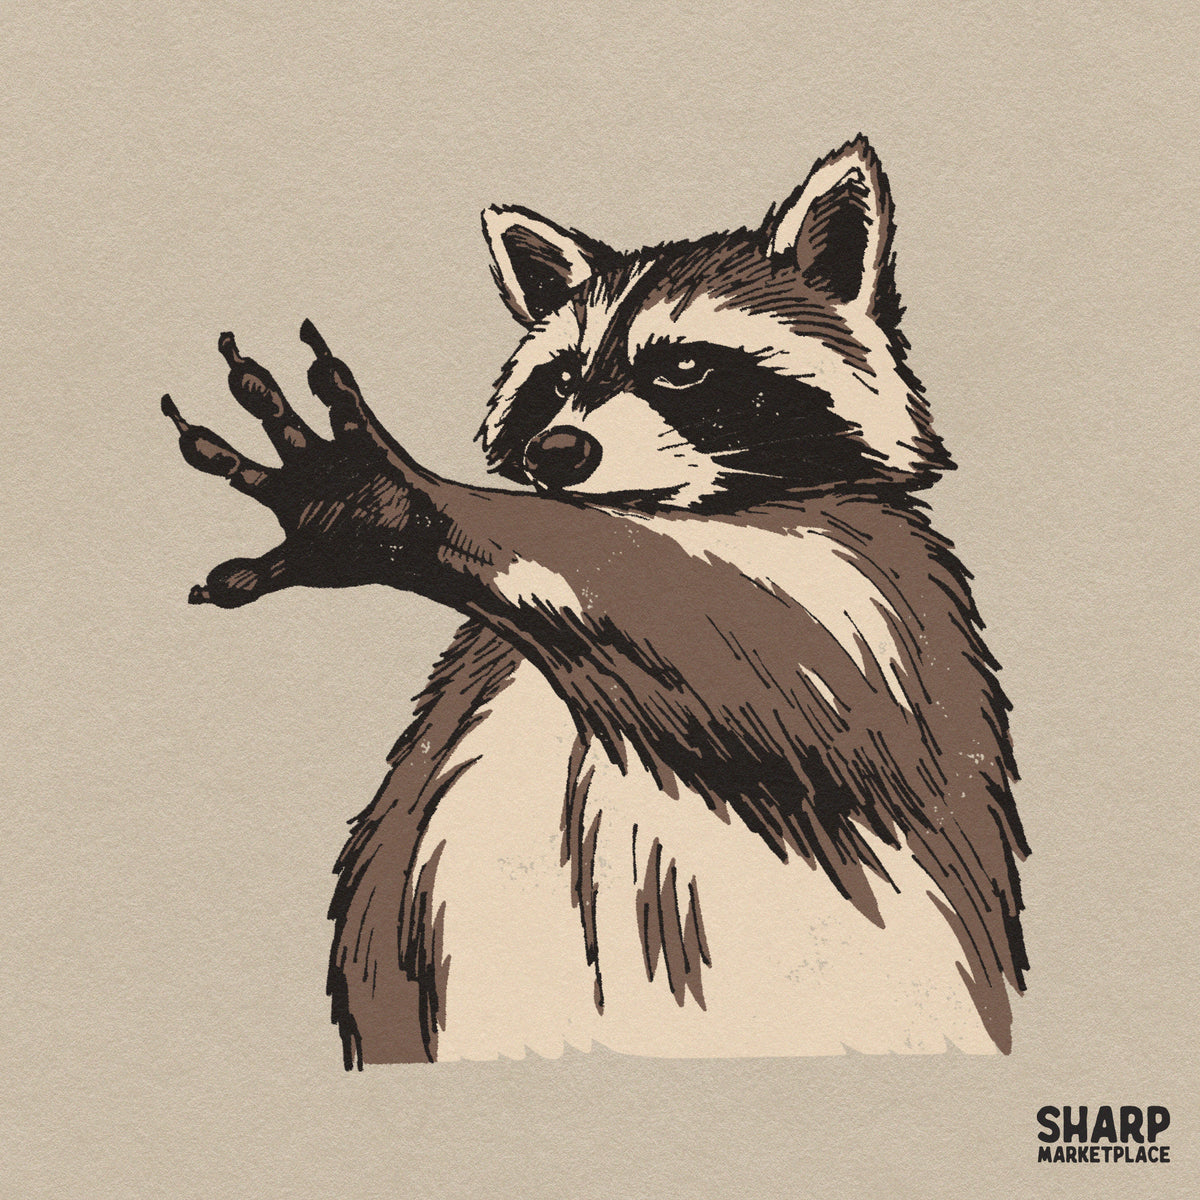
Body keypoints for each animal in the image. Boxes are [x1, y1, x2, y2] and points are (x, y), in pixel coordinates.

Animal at [166, 136, 1028, 1067]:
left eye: (682, 367)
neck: (659, 514)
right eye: (559, 380)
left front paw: (403, 509)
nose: (557, 451)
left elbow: (753, 650)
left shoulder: (877, 601)